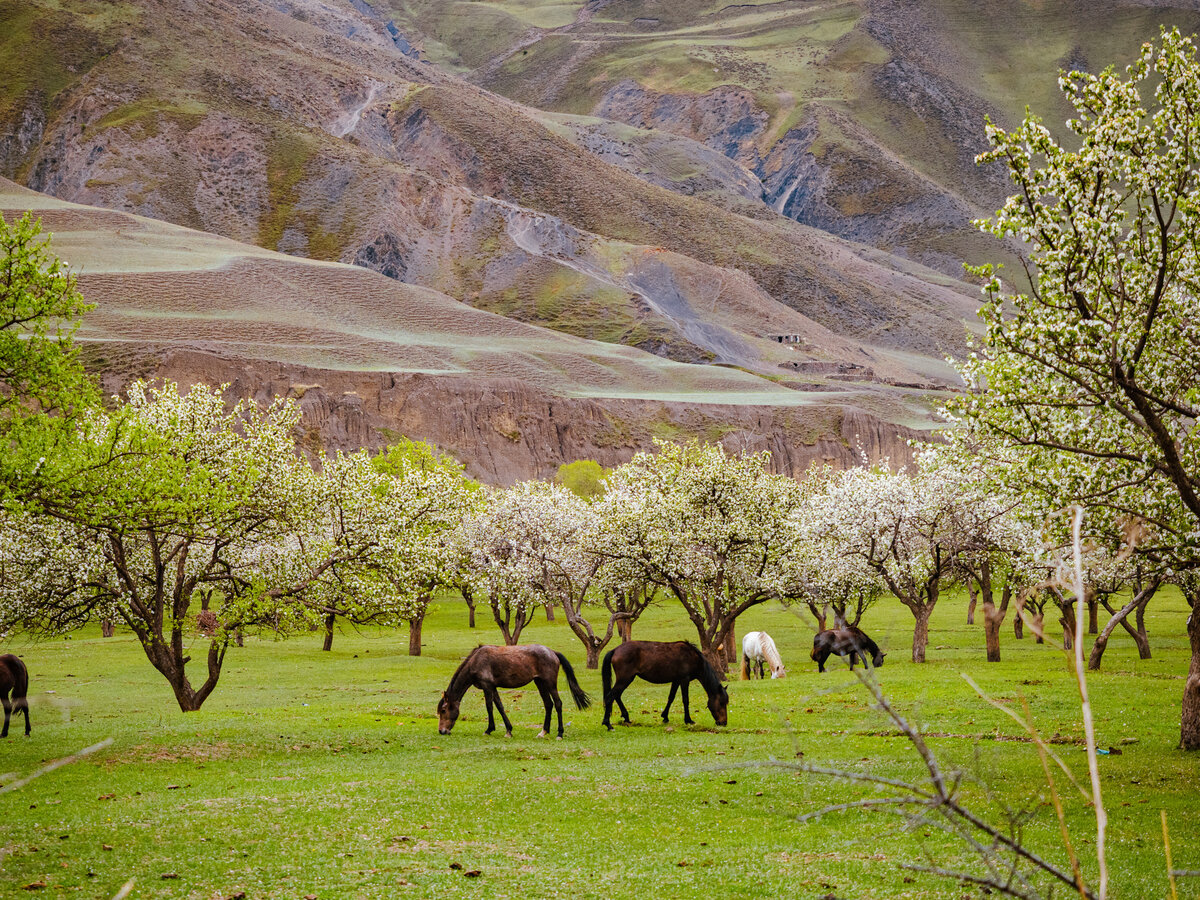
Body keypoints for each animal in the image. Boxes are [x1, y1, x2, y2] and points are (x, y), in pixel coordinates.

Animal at [439, 648, 592, 739]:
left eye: (443, 710)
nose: (442, 731)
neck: (476, 661)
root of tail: (552, 652)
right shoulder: (493, 687)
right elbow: (500, 706)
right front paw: (508, 730)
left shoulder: (487, 686)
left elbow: (489, 707)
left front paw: (489, 729)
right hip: (540, 682)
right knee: (548, 704)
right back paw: (543, 731)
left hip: (550, 683)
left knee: (558, 703)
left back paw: (560, 733)